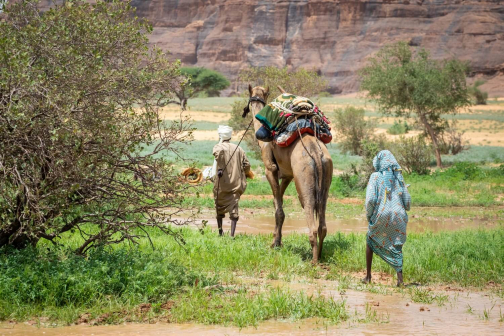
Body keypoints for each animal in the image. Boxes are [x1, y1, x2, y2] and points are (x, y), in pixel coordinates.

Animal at [243, 84, 332, 262]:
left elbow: (279, 209)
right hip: (326, 171)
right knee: (323, 221)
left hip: (304, 178)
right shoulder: (287, 174)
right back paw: (320, 255)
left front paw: (275, 243)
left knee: (309, 210)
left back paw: (313, 261)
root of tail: (316, 154)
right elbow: (278, 203)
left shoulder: (270, 169)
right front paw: (277, 240)